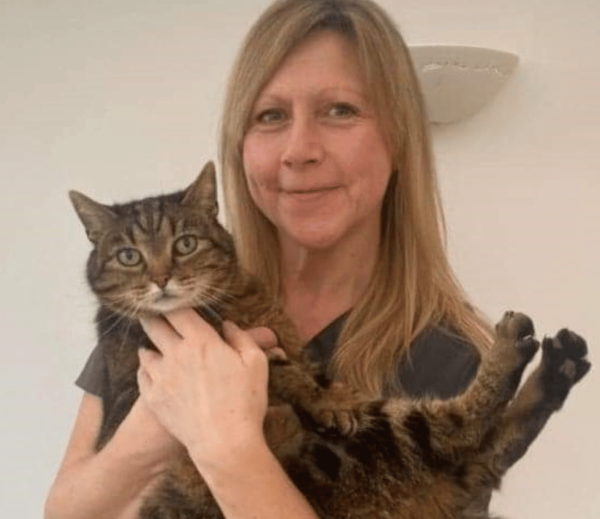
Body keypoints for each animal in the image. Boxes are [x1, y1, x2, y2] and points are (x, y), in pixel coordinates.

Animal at [70, 160, 592, 516]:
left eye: (185, 244)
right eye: (129, 256)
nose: (160, 279)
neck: (234, 299)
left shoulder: (291, 348)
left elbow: (311, 371)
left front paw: (331, 395)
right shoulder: (151, 369)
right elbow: (279, 368)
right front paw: (324, 400)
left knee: (481, 446)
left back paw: (556, 362)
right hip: (354, 454)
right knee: (463, 435)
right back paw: (527, 353)